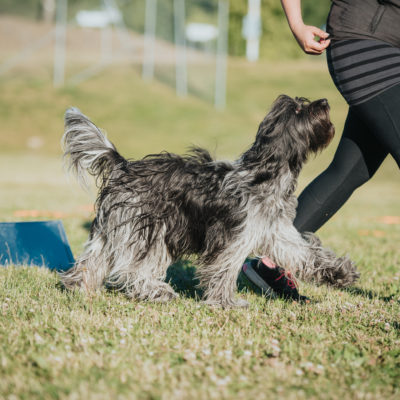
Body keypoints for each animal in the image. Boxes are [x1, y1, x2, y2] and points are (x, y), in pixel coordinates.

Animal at [61, 95, 360, 308]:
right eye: (299, 110)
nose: (325, 102)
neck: (266, 173)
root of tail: (123, 166)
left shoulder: (277, 232)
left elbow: (307, 254)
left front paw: (340, 273)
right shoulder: (234, 237)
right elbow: (224, 269)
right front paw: (226, 302)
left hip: (112, 229)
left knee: (92, 259)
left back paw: (78, 287)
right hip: (148, 230)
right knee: (133, 269)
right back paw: (156, 291)